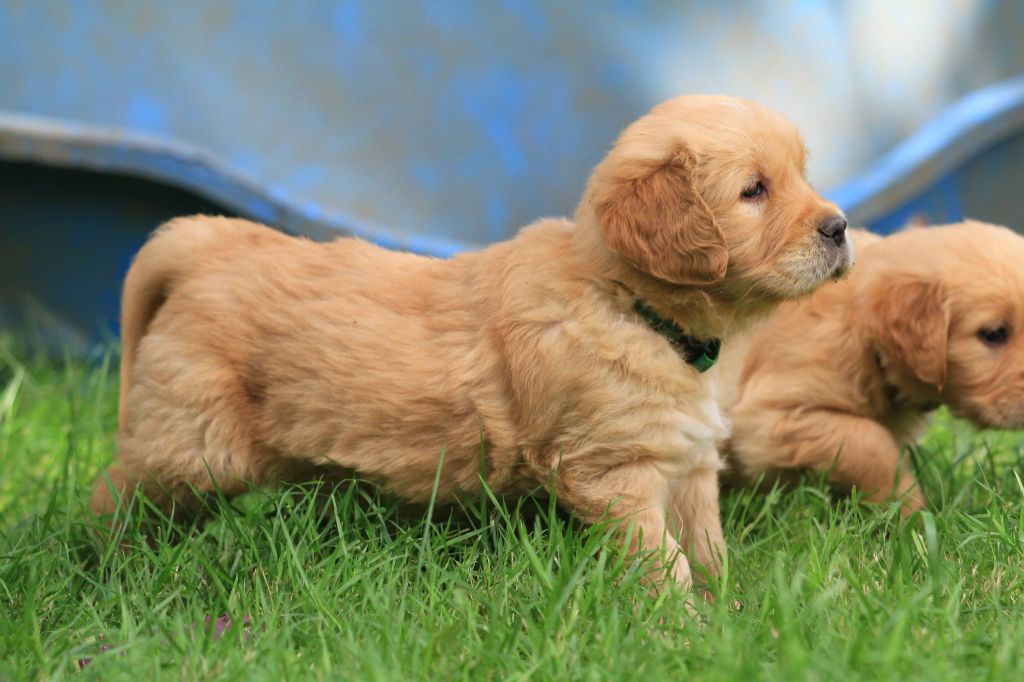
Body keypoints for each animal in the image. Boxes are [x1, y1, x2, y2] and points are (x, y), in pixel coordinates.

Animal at [94, 94, 856, 585]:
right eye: (754, 190)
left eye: (801, 175)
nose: (840, 227)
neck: (630, 305)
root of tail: (209, 239)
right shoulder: (616, 472)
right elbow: (661, 562)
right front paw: (684, 633)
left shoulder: (689, 464)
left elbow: (707, 549)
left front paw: (730, 619)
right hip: (195, 447)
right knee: (114, 493)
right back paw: (106, 564)